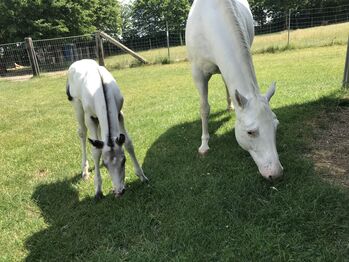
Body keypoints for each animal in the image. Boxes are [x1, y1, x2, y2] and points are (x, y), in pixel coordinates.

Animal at [66, 59, 147, 199]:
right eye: (105, 164)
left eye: (124, 160)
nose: (119, 191)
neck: (101, 91)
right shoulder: (90, 117)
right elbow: (95, 151)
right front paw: (98, 190)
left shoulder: (119, 113)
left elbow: (128, 142)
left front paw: (142, 176)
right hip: (77, 105)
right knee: (82, 132)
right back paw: (85, 171)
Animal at [185, 0, 282, 180]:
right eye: (250, 132)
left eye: (276, 125)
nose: (276, 174)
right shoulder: (198, 74)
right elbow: (204, 108)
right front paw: (204, 145)